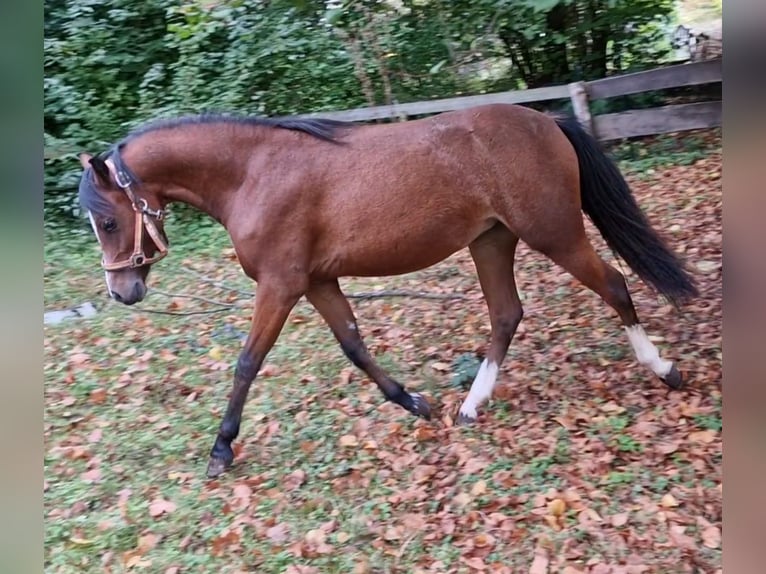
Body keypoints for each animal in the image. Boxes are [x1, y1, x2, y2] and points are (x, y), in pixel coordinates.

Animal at [79, 102, 704, 476]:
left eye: (107, 221)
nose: (122, 292)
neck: (254, 172)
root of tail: (547, 121)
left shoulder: (281, 286)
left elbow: (247, 363)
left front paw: (221, 449)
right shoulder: (317, 281)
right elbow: (355, 346)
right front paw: (416, 403)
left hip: (554, 232)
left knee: (615, 287)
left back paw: (664, 369)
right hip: (492, 241)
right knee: (507, 314)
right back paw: (470, 406)